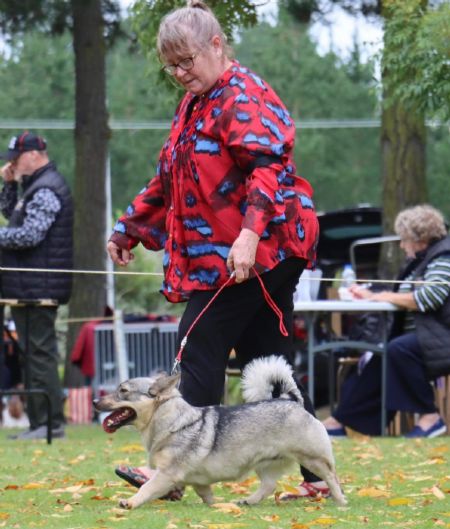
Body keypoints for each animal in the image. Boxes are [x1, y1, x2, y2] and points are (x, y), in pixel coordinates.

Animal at [94, 355, 347, 510]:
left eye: (123, 391)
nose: (95, 401)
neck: (171, 421)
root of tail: (291, 400)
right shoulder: (198, 482)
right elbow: (207, 495)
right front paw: (216, 507)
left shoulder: (166, 474)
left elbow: (147, 488)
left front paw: (130, 502)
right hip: (263, 464)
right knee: (268, 486)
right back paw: (248, 501)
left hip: (313, 459)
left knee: (331, 477)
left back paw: (340, 500)